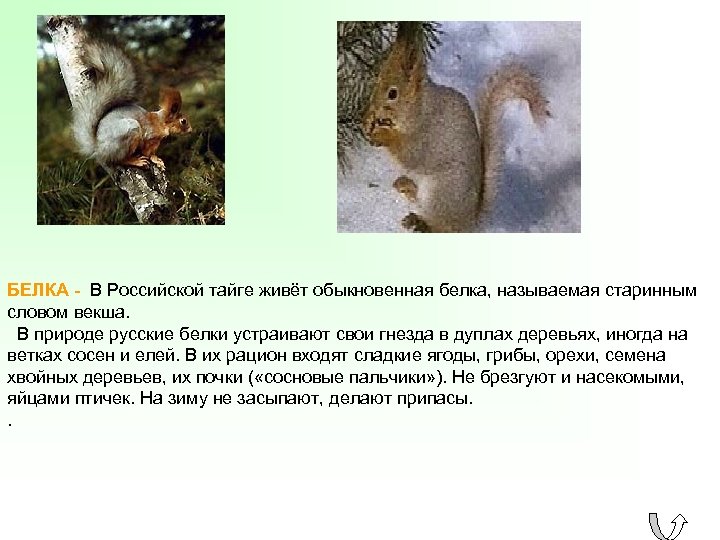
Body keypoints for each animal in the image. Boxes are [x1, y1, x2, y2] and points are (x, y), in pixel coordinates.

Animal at [71, 41, 192, 170]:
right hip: (130, 131)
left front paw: (158, 160)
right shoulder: (150, 139)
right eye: (183, 121)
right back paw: (136, 161)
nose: (191, 131)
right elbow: (148, 153)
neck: (161, 122)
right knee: (119, 160)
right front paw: (155, 159)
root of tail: (99, 149)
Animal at [362, 26, 550, 232]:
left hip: (440, 192)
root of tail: (469, 220)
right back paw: (406, 186)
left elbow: (410, 154)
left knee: (441, 226)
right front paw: (367, 121)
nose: (372, 108)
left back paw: (419, 223)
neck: (420, 107)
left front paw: (381, 135)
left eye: (392, 93)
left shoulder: (426, 135)